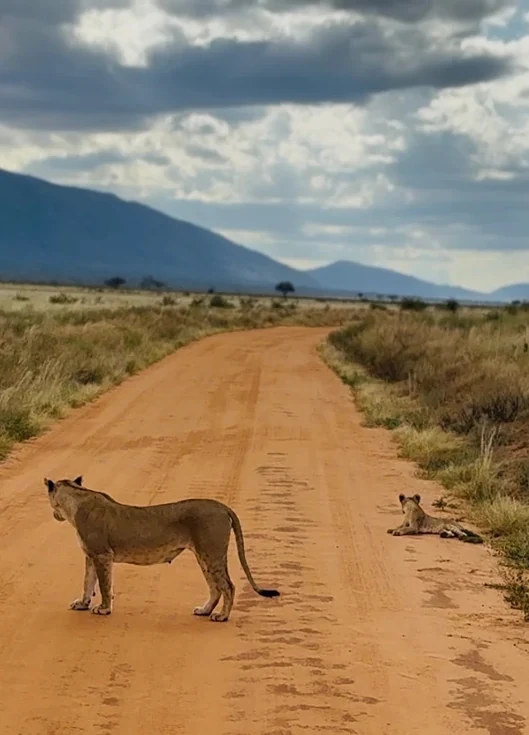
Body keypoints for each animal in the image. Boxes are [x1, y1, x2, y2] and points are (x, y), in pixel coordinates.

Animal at [44, 475, 280, 621]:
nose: (54, 515)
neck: (75, 503)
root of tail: (222, 506)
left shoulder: (102, 554)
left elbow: (103, 585)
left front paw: (103, 609)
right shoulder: (90, 555)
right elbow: (87, 581)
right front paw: (82, 604)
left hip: (211, 553)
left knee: (228, 586)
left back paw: (222, 617)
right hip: (203, 556)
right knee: (215, 587)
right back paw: (204, 611)